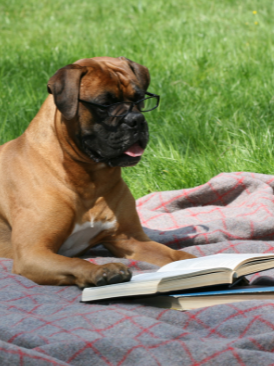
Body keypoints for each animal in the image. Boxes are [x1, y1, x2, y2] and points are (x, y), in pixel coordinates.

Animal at [0, 57, 195, 288]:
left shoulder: (130, 240)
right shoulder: (32, 252)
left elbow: (176, 255)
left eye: (139, 99)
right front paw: (103, 270)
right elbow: (74, 262)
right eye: (105, 104)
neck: (90, 178)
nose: (136, 120)